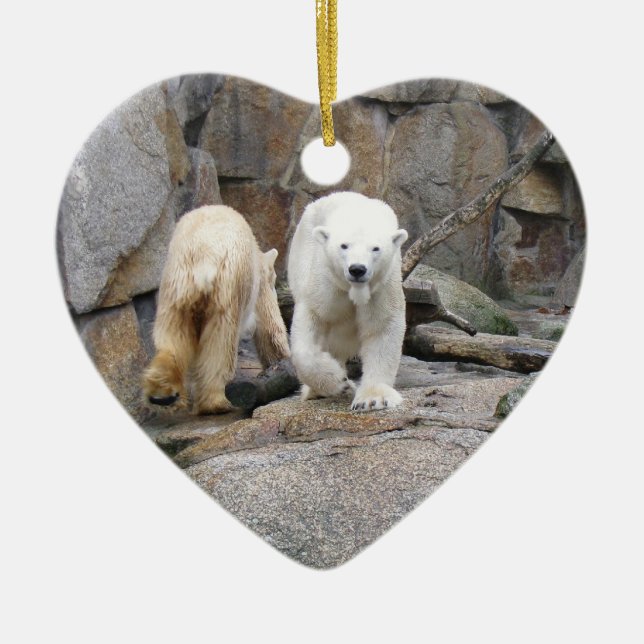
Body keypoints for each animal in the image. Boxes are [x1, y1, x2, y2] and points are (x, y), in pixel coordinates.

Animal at [142, 204, 290, 414]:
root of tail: (203, 258)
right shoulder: (256, 285)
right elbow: (269, 327)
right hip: (227, 287)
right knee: (222, 342)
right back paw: (217, 403)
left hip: (175, 288)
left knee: (173, 337)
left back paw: (162, 394)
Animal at [287, 191, 409, 411]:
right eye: (344, 245)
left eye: (375, 248)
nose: (357, 269)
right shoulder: (326, 282)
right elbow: (313, 319)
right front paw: (338, 382)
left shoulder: (382, 286)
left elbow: (382, 327)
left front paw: (373, 399)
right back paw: (316, 391)